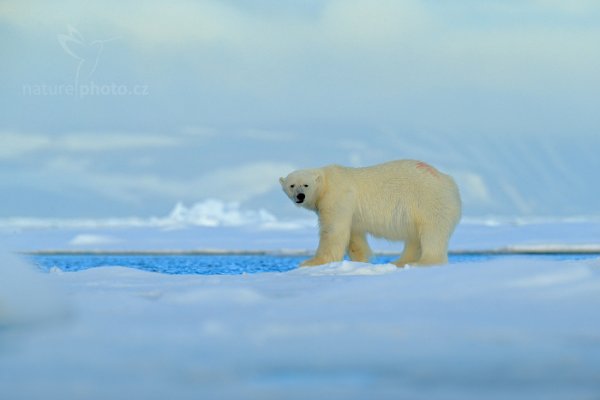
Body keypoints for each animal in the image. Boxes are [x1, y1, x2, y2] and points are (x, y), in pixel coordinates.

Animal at [278, 159, 462, 266]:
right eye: (292, 185)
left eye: (306, 185)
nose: (300, 196)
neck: (326, 182)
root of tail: (449, 181)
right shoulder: (350, 211)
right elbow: (354, 236)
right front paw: (360, 261)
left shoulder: (337, 196)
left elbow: (333, 230)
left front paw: (311, 262)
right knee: (414, 238)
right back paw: (399, 262)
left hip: (428, 201)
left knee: (432, 232)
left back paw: (424, 262)